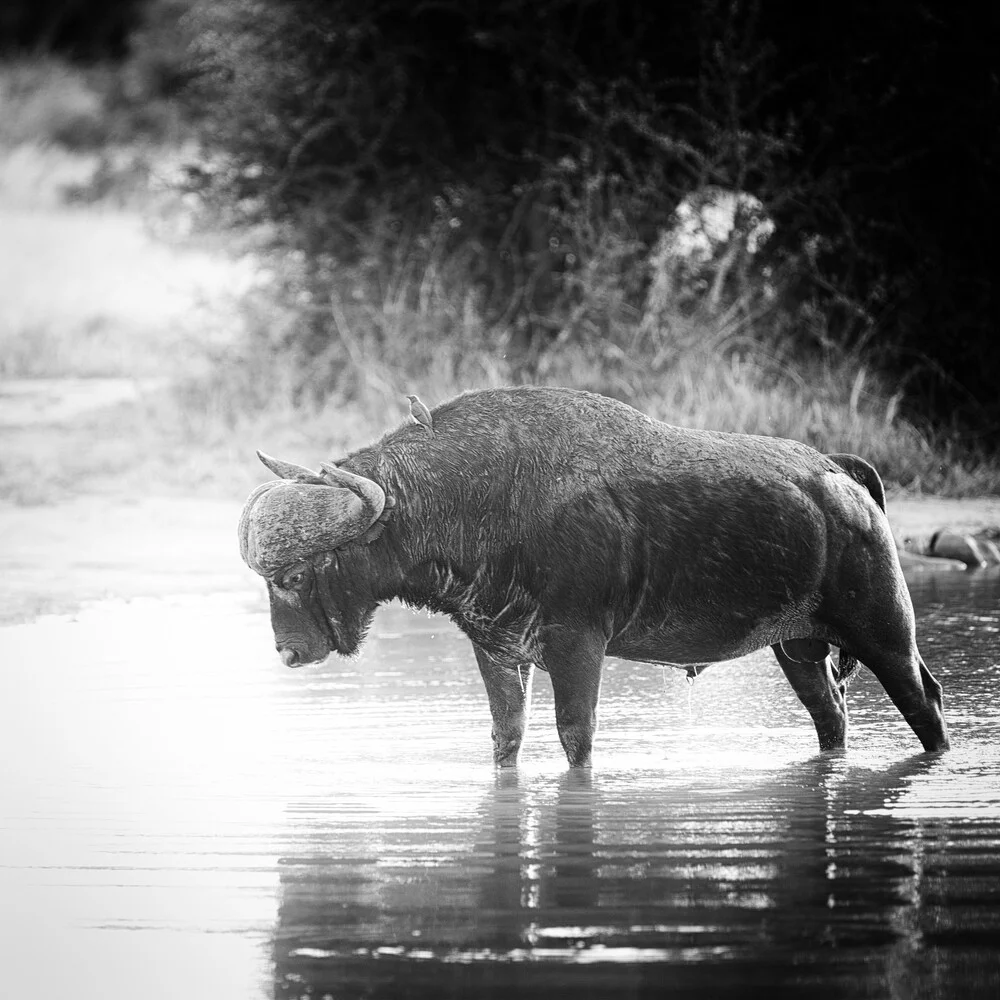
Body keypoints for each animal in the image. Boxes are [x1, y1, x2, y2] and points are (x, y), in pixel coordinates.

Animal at [238, 384, 948, 764]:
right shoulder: (498, 652)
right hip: (798, 648)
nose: (287, 651)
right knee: (832, 719)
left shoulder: (578, 648)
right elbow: (507, 737)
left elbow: (575, 739)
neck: (479, 499)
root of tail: (835, 471)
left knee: (926, 702)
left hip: (886, 634)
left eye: (296, 575)